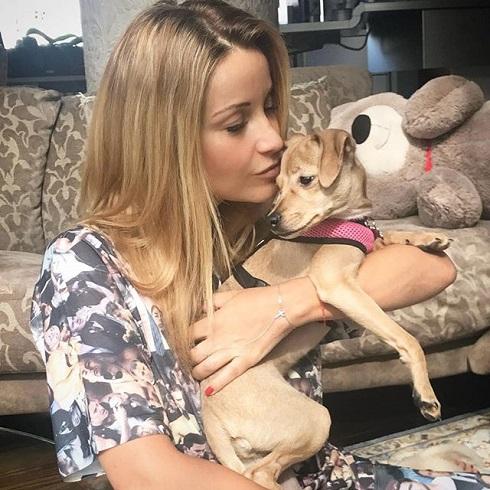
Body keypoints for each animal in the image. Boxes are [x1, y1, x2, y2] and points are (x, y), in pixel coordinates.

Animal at [201, 129, 450, 489]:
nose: (272, 220)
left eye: (305, 180)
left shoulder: (367, 247)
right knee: (258, 475)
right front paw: (425, 395)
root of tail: (211, 416)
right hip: (315, 419)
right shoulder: (336, 284)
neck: (345, 220)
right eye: (277, 184)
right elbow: (407, 340)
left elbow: (387, 234)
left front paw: (427, 239)